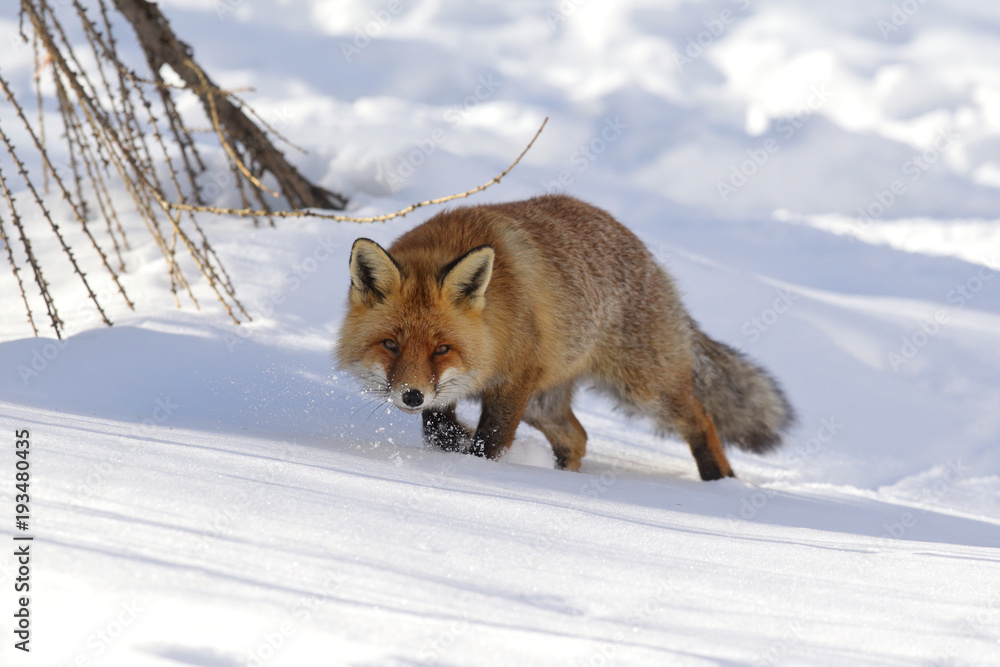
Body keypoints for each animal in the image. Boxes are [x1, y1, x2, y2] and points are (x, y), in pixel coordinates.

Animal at [335, 194, 795, 480]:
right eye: (391, 344)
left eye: (442, 348)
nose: (411, 396)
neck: (497, 322)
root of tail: (646, 254)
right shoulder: (458, 389)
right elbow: (437, 429)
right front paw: (453, 443)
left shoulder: (512, 383)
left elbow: (489, 442)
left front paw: (476, 468)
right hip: (545, 402)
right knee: (578, 437)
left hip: (644, 391)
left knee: (702, 419)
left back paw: (721, 482)